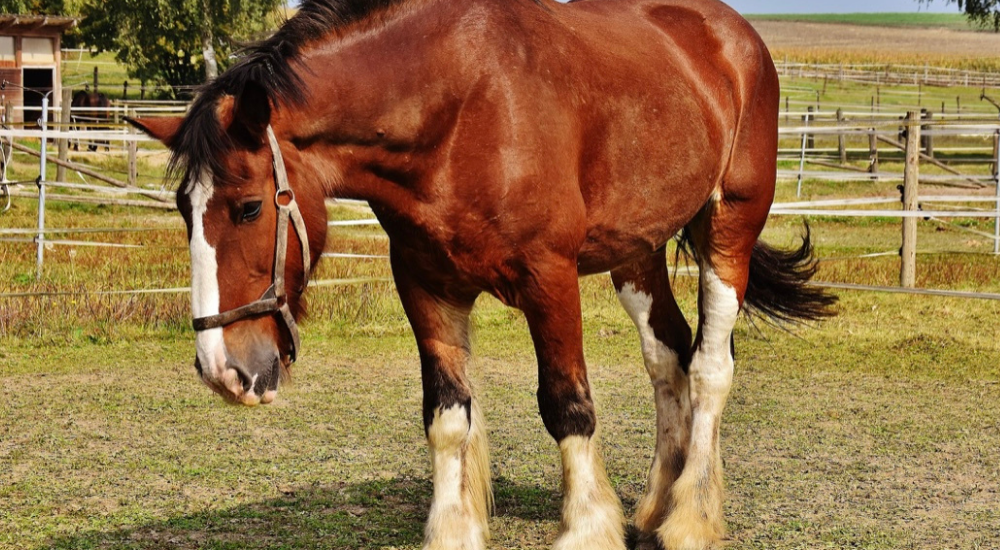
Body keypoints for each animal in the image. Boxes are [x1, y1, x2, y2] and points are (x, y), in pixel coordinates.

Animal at [133, 0, 836, 548]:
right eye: (184, 209)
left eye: (249, 206)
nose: (222, 369)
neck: (458, 107)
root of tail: (732, 36)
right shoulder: (426, 285)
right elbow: (447, 416)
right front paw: (454, 530)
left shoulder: (549, 279)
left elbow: (567, 405)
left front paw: (586, 529)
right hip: (636, 251)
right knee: (668, 357)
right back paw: (654, 509)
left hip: (728, 229)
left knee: (711, 367)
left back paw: (690, 519)